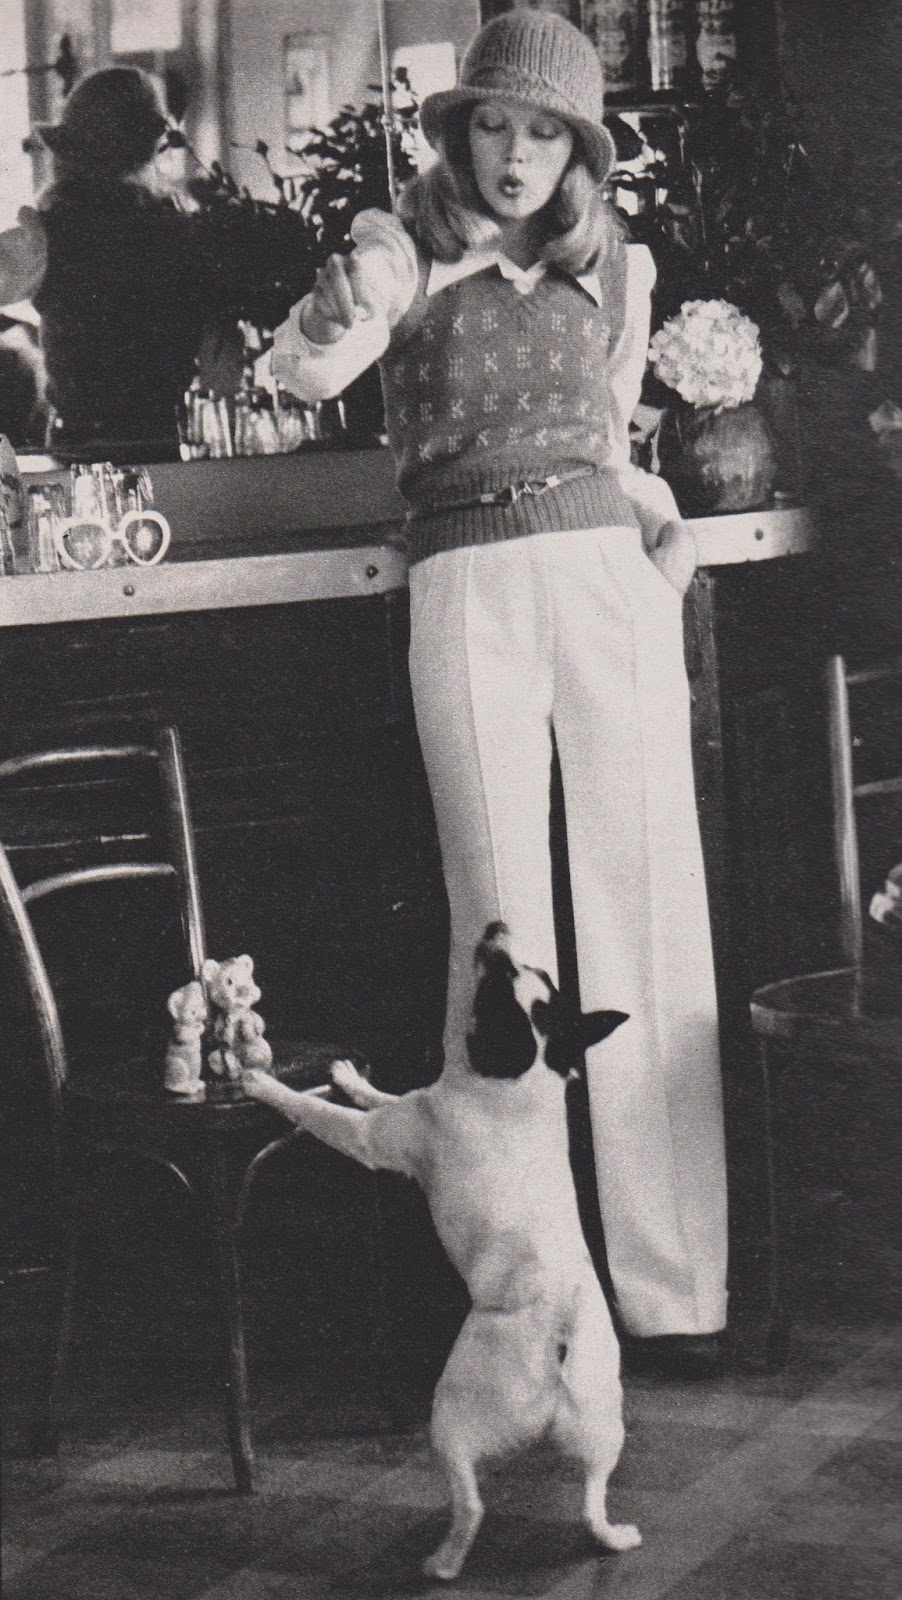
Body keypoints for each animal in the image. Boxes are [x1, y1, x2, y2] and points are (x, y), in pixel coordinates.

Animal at [241, 922, 640, 1580]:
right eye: (535, 971)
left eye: (497, 984)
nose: (496, 930)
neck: (519, 1080)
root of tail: (560, 1330)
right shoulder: (411, 1105)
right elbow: (379, 1093)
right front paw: (350, 1076)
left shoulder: (377, 1138)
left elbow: (323, 1111)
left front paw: (264, 1083)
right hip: (606, 1425)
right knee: (591, 1501)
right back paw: (612, 1536)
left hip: (449, 1417)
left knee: (471, 1503)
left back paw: (445, 1562)